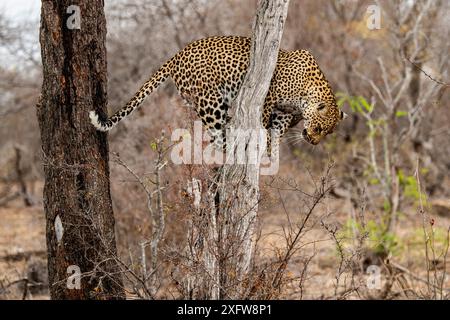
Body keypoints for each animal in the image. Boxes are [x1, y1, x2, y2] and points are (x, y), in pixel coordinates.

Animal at [89, 35, 346, 153]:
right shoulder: (268, 100)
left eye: (328, 133)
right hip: (210, 101)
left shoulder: (283, 112)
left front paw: (271, 150)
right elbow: (262, 124)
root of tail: (178, 54)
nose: (313, 141)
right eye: (319, 129)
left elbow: (277, 132)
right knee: (216, 133)